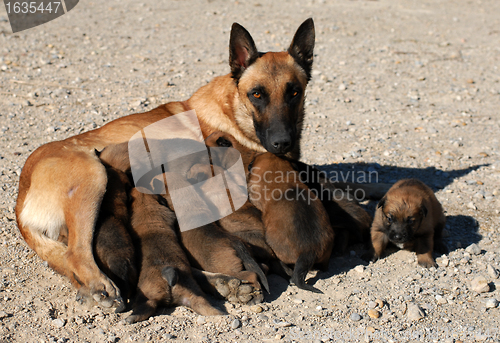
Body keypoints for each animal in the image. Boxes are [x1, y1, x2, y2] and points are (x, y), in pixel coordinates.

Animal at [13, 18, 386, 308]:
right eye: (257, 94)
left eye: (294, 92)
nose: (282, 143)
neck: (232, 113)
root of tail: (21, 199)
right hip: (94, 177)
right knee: (79, 256)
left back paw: (226, 283)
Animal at [124, 188, 222, 326]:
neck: (146, 205)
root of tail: (169, 272)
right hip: (194, 293)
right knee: (202, 303)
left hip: (147, 294)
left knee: (145, 306)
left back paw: (130, 318)